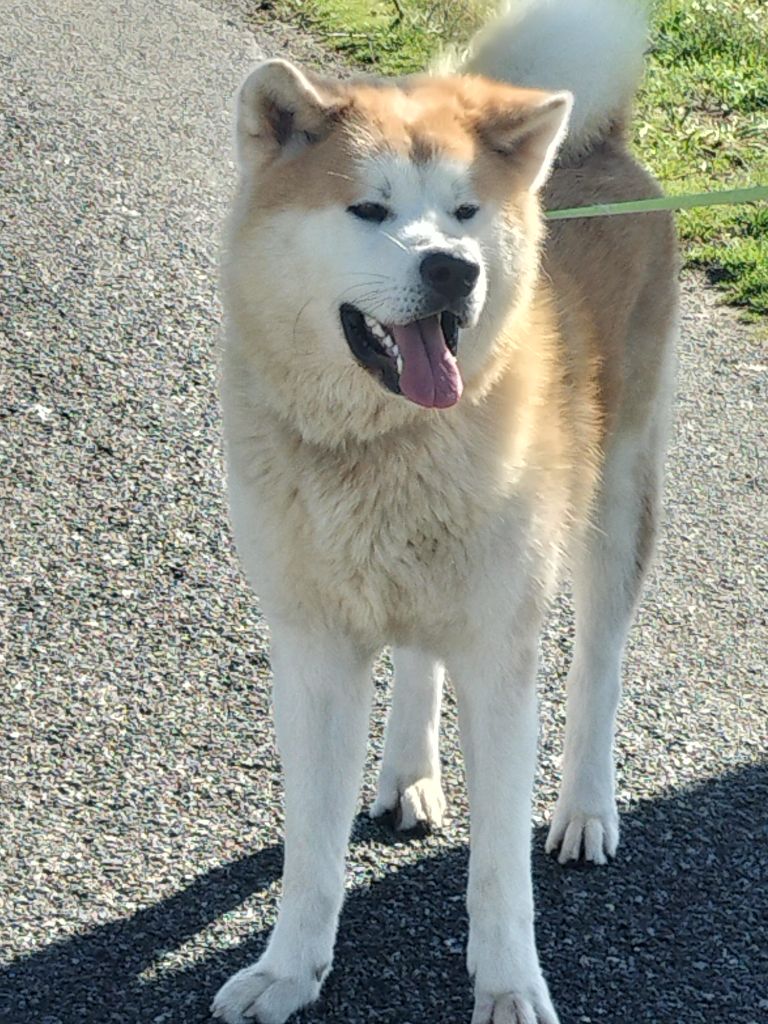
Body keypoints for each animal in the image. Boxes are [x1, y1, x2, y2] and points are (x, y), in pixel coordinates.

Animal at [210, 0, 679, 1019]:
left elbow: (500, 871)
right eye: (369, 209)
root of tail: (602, 143)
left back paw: (586, 806)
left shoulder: (499, 657)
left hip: (616, 503)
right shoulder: (314, 649)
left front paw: (508, 987)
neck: (384, 449)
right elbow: (311, 852)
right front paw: (287, 970)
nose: (453, 269)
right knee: (418, 654)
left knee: (599, 665)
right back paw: (409, 774)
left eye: (465, 212)